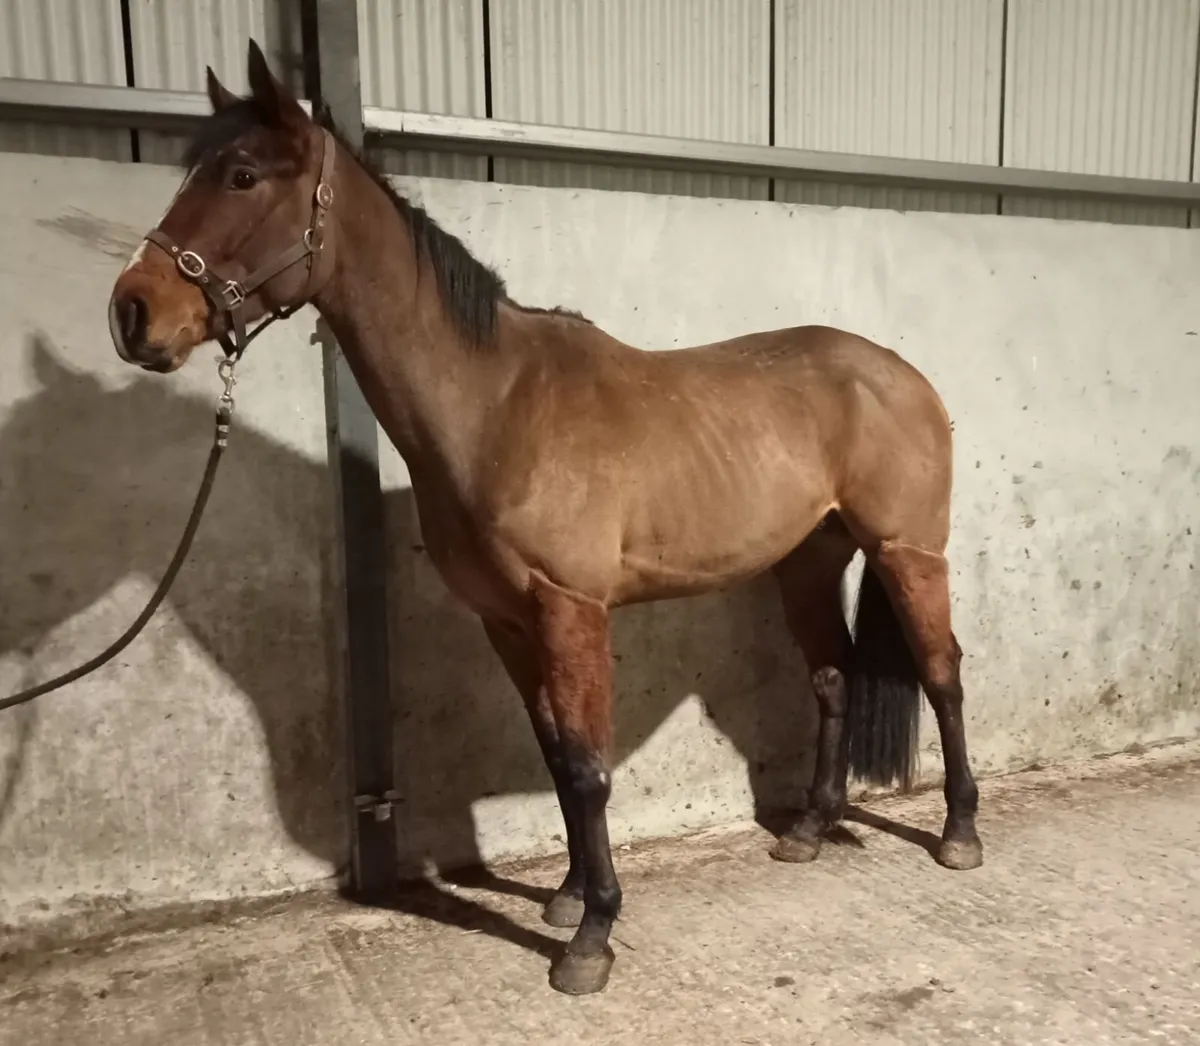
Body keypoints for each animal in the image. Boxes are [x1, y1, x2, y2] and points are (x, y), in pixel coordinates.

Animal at [107, 39, 982, 995]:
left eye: (241, 174)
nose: (133, 311)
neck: (497, 405)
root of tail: (901, 373)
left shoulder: (571, 612)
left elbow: (591, 771)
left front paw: (591, 938)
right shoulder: (508, 622)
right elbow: (559, 760)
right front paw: (567, 898)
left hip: (907, 552)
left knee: (942, 674)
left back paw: (959, 834)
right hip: (809, 562)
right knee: (832, 678)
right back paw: (812, 830)